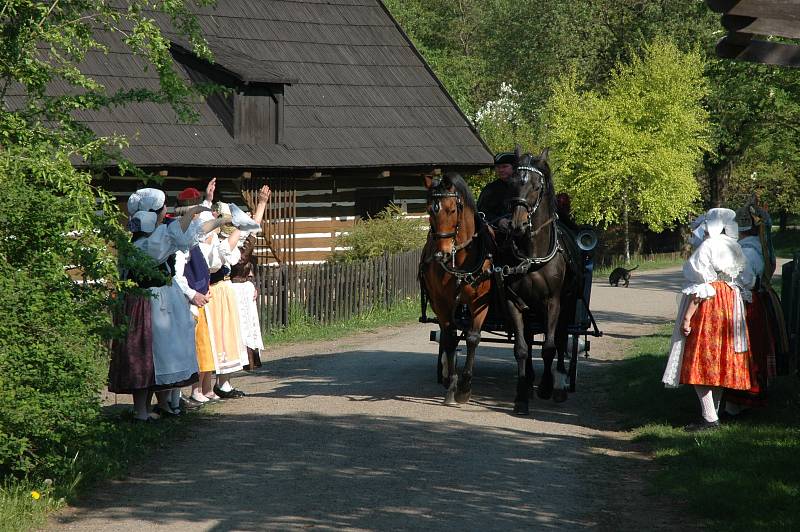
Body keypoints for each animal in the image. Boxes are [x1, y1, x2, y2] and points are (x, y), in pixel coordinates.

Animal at [418, 172, 494, 406]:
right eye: (429, 210)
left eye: (452, 210)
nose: (441, 254)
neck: (460, 261)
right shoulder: (442, 303)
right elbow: (450, 338)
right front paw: (452, 385)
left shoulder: (480, 302)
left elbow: (472, 338)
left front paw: (465, 387)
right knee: (446, 335)